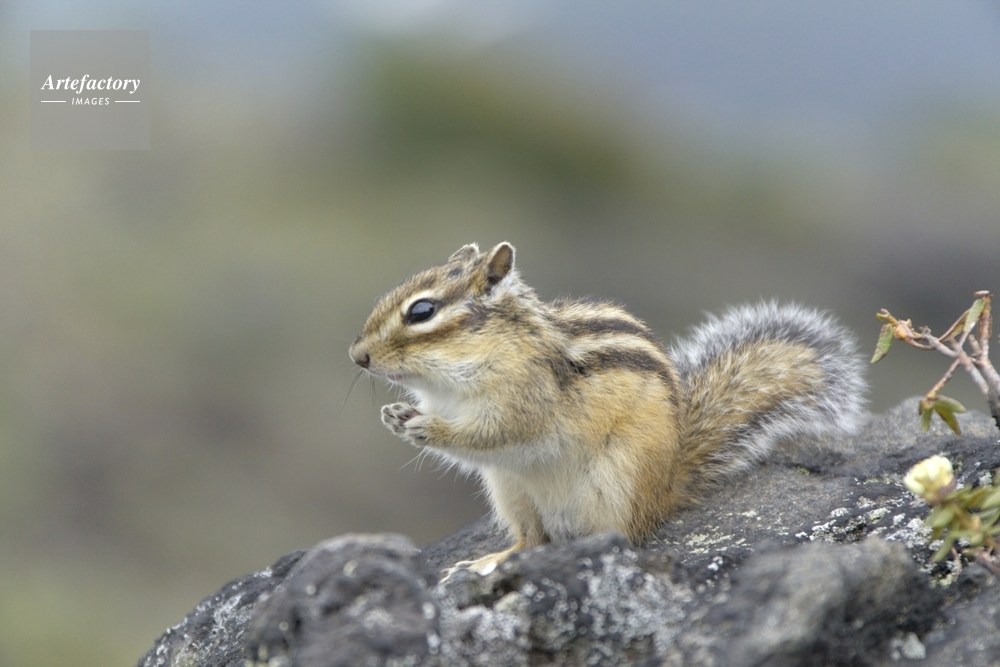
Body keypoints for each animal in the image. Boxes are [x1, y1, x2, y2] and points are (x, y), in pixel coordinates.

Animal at [349, 242, 866, 577]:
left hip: (613, 484)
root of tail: (667, 486)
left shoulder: (525, 401)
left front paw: (424, 427)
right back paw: (493, 560)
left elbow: (491, 434)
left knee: (616, 538)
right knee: (533, 539)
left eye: (421, 312)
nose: (357, 356)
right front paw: (394, 415)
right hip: (510, 491)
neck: (448, 381)